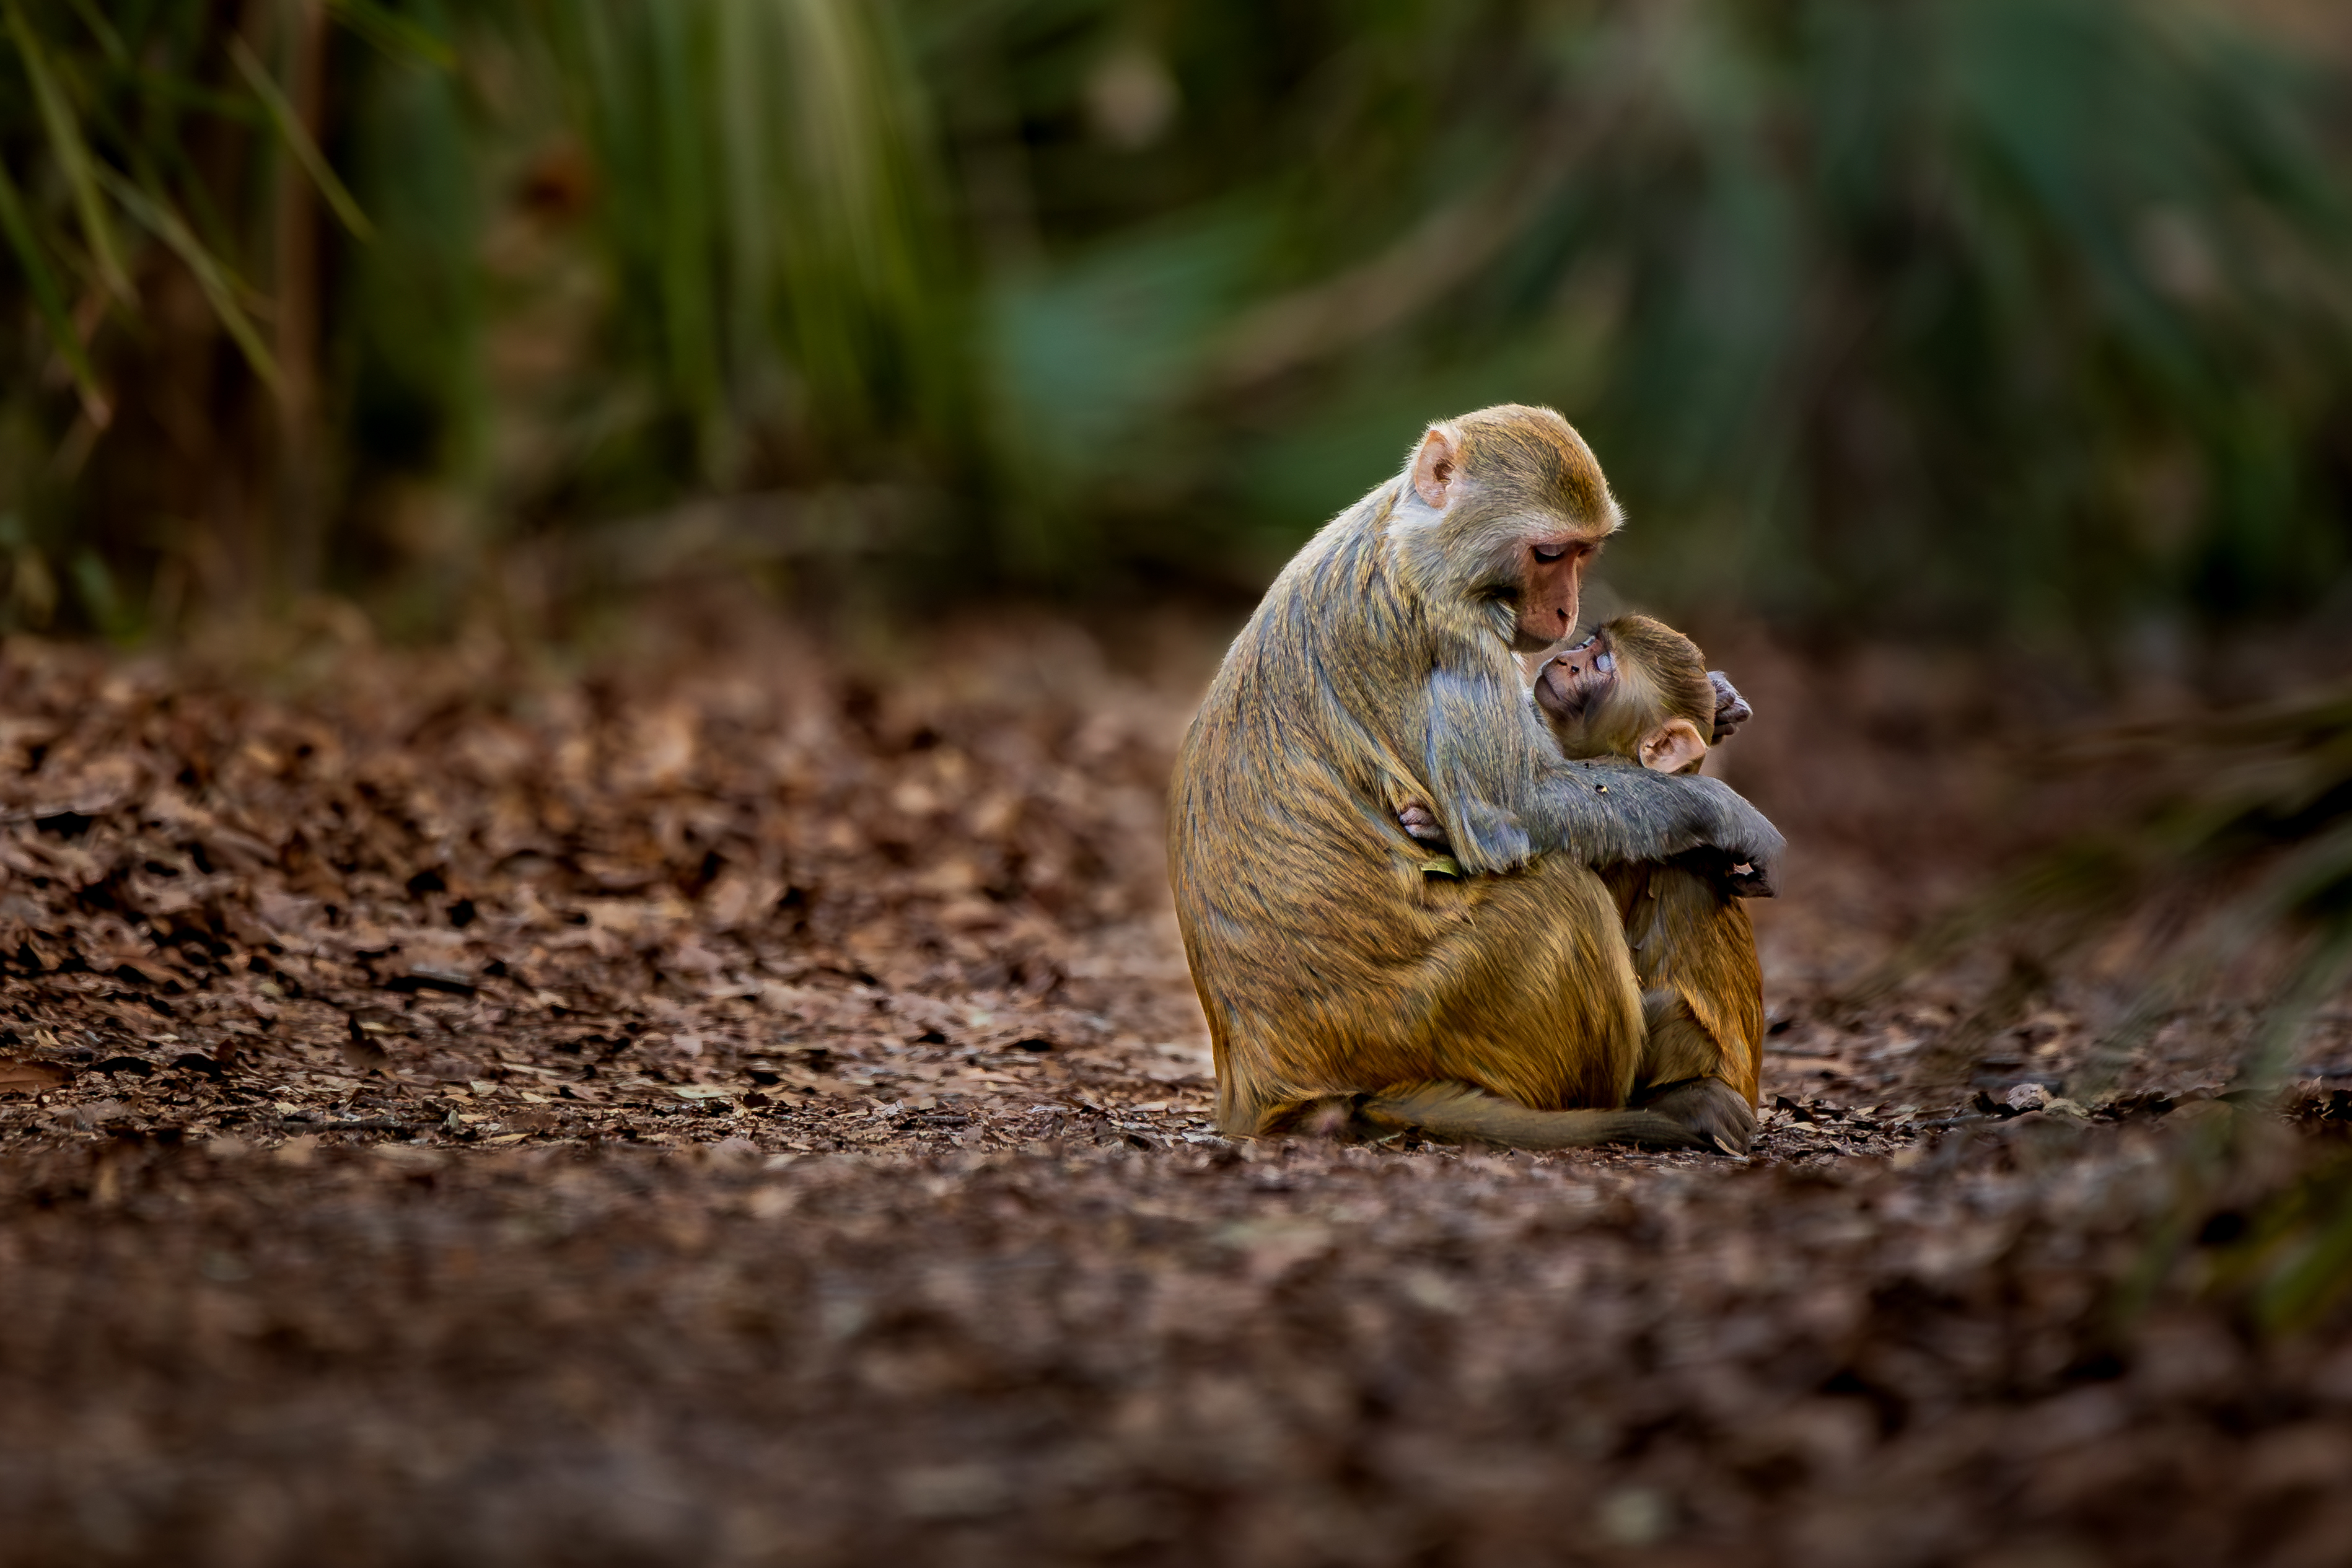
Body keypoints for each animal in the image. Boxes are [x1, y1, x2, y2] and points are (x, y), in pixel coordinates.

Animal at [1168, 404, 1782, 1154]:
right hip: (1419, 1021)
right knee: (1563, 891)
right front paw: (1721, 808)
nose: (1566, 616)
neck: (1411, 539)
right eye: (1548, 554)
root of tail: (1258, 1085)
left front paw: (1720, 703)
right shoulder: (1454, 629)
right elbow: (1509, 811)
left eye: (1583, 554)